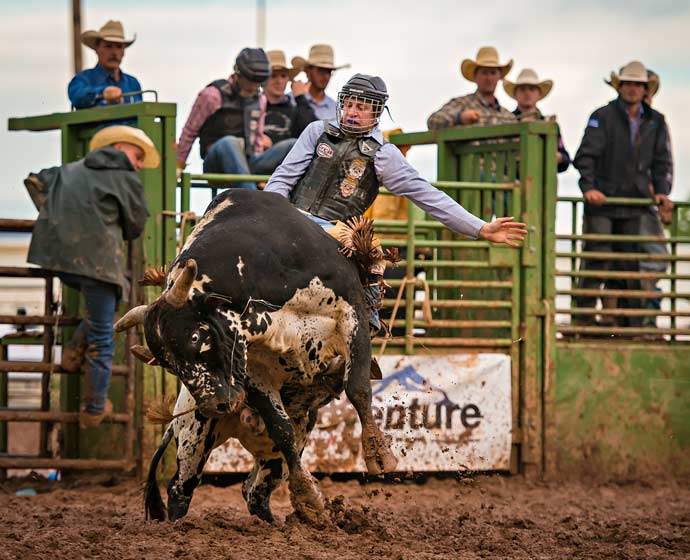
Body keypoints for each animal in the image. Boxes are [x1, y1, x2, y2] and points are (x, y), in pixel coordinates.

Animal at [115, 190, 396, 524]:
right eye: (168, 364)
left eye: (195, 337)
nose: (216, 405)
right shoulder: (251, 369)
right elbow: (281, 427)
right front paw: (309, 496)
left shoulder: (351, 314)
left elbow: (358, 389)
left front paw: (379, 456)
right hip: (192, 437)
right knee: (181, 488)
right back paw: (180, 526)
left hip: (271, 452)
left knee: (255, 490)